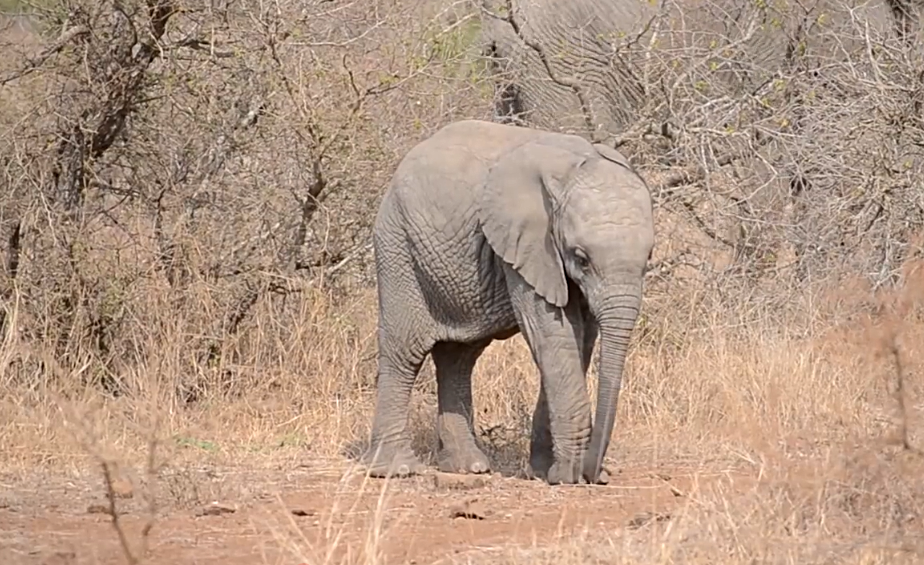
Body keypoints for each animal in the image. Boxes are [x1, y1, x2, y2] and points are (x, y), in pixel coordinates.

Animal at [360, 119, 656, 484]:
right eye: (582, 258)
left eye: (649, 257)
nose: (596, 473)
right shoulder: (527, 245)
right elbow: (553, 335)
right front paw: (566, 477)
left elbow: (581, 340)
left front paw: (545, 471)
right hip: (398, 245)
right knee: (404, 352)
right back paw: (396, 469)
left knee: (459, 357)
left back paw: (469, 467)